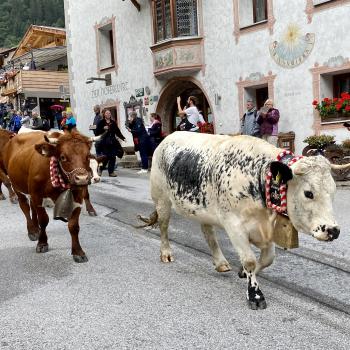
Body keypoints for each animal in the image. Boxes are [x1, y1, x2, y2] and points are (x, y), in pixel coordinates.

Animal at [3, 131, 100, 262]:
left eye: (88, 156)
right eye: (63, 157)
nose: (82, 179)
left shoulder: (78, 198)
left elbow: (74, 226)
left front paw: (78, 252)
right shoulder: (38, 196)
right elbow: (44, 220)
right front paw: (42, 243)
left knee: (32, 207)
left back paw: (36, 228)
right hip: (17, 187)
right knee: (25, 207)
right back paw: (32, 231)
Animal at [141, 131, 348, 308]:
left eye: (333, 191)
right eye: (308, 193)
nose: (333, 230)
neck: (257, 178)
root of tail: (168, 137)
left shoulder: (266, 231)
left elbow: (267, 260)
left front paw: (243, 272)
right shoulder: (234, 226)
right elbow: (249, 260)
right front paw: (255, 295)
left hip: (203, 209)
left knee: (208, 232)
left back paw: (220, 263)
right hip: (161, 199)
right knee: (164, 226)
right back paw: (166, 253)